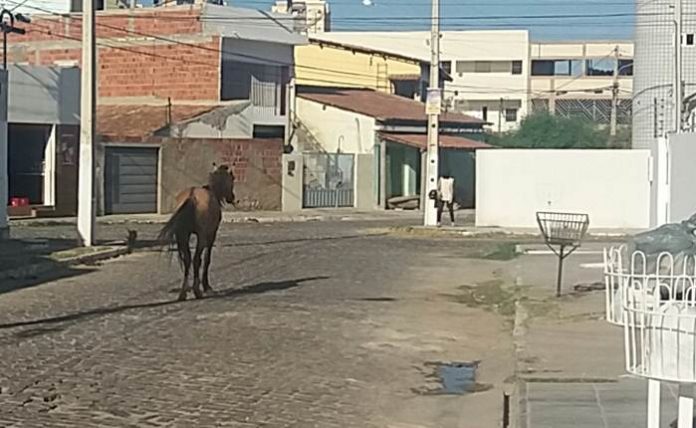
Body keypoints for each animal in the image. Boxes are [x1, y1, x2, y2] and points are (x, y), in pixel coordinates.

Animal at [158, 163, 236, 301]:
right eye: (233, 178)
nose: (232, 197)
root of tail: (191, 197)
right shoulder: (211, 234)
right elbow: (207, 259)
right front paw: (206, 286)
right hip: (201, 236)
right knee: (196, 260)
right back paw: (197, 290)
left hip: (182, 236)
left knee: (187, 260)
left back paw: (183, 292)